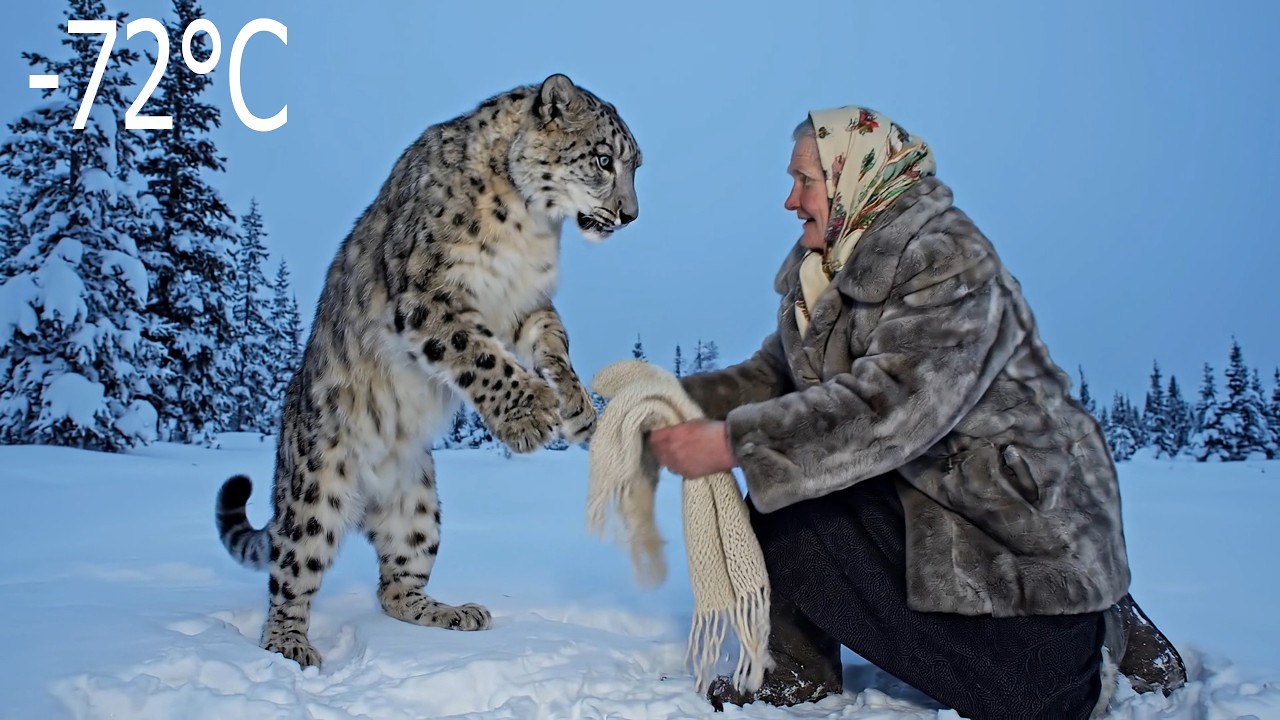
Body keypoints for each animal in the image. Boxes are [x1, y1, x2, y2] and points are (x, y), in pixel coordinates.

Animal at [213, 74, 641, 669]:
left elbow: (553, 345)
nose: (630, 214)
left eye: (634, 165)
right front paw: (530, 416)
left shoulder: (525, 304)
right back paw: (289, 645)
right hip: (314, 492)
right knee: (292, 572)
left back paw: (451, 613)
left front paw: (579, 410)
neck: (532, 224)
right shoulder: (429, 295)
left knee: (394, 585)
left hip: (417, 508)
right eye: (604, 160)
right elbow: (478, 354)